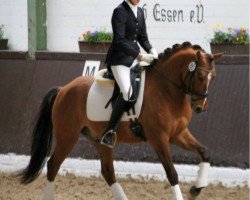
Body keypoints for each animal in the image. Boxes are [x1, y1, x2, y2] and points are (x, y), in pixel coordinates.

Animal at [20, 41, 223, 199]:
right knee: (53, 165)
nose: (200, 107)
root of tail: (63, 89)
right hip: (67, 137)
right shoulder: (158, 138)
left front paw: (197, 188)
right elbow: (172, 173)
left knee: (108, 172)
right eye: (200, 76)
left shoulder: (178, 134)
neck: (167, 90)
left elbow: (205, 153)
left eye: (214, 77)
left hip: (100, 140)